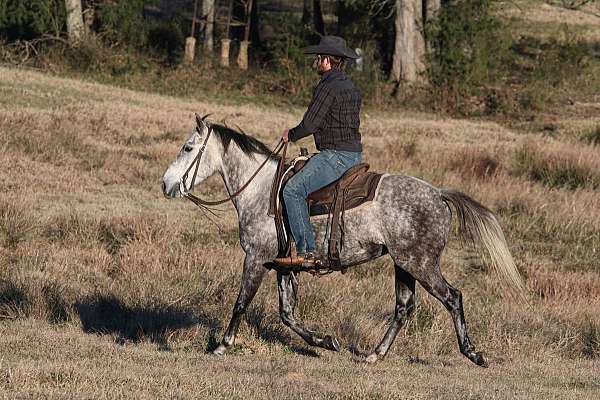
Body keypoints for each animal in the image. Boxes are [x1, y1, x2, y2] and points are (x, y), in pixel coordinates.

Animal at [162, 115, 524, 366]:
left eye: (188, 148)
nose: (165, 184)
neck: (262, 191)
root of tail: (438, 194)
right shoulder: (283, 265)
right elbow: (287, 313)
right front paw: (325, 342)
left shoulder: (255, 258)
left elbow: (241, 302)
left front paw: (222, 344)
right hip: (403, 263)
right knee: (403, 307)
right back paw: (374, 354)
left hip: (421, 264)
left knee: (452, 297)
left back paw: (473, 353)